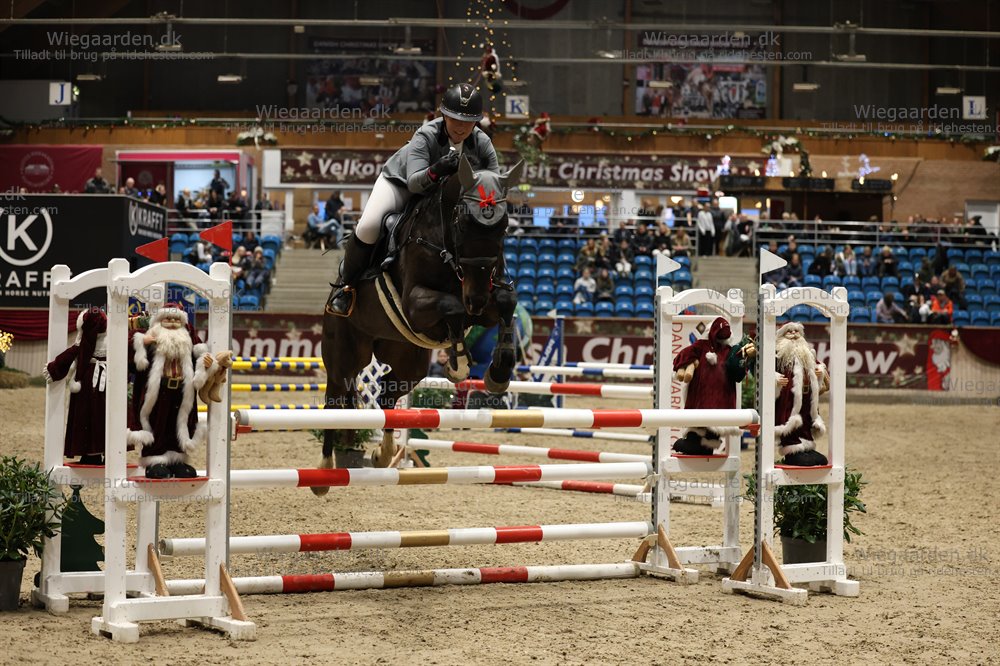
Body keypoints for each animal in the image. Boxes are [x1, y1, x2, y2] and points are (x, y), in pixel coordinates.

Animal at [314, 156, 523, 493]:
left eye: (503, 226)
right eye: (463, 223)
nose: (476, 299)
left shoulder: (486, 301)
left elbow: (505, 302)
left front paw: (498, 373)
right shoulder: (416, 304)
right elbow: (452, 307)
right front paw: (459, 363)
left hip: (408, 361)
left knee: (387, 394)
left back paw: (383, 454)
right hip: (343, 354)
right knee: (334, 402)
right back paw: (323, 473)